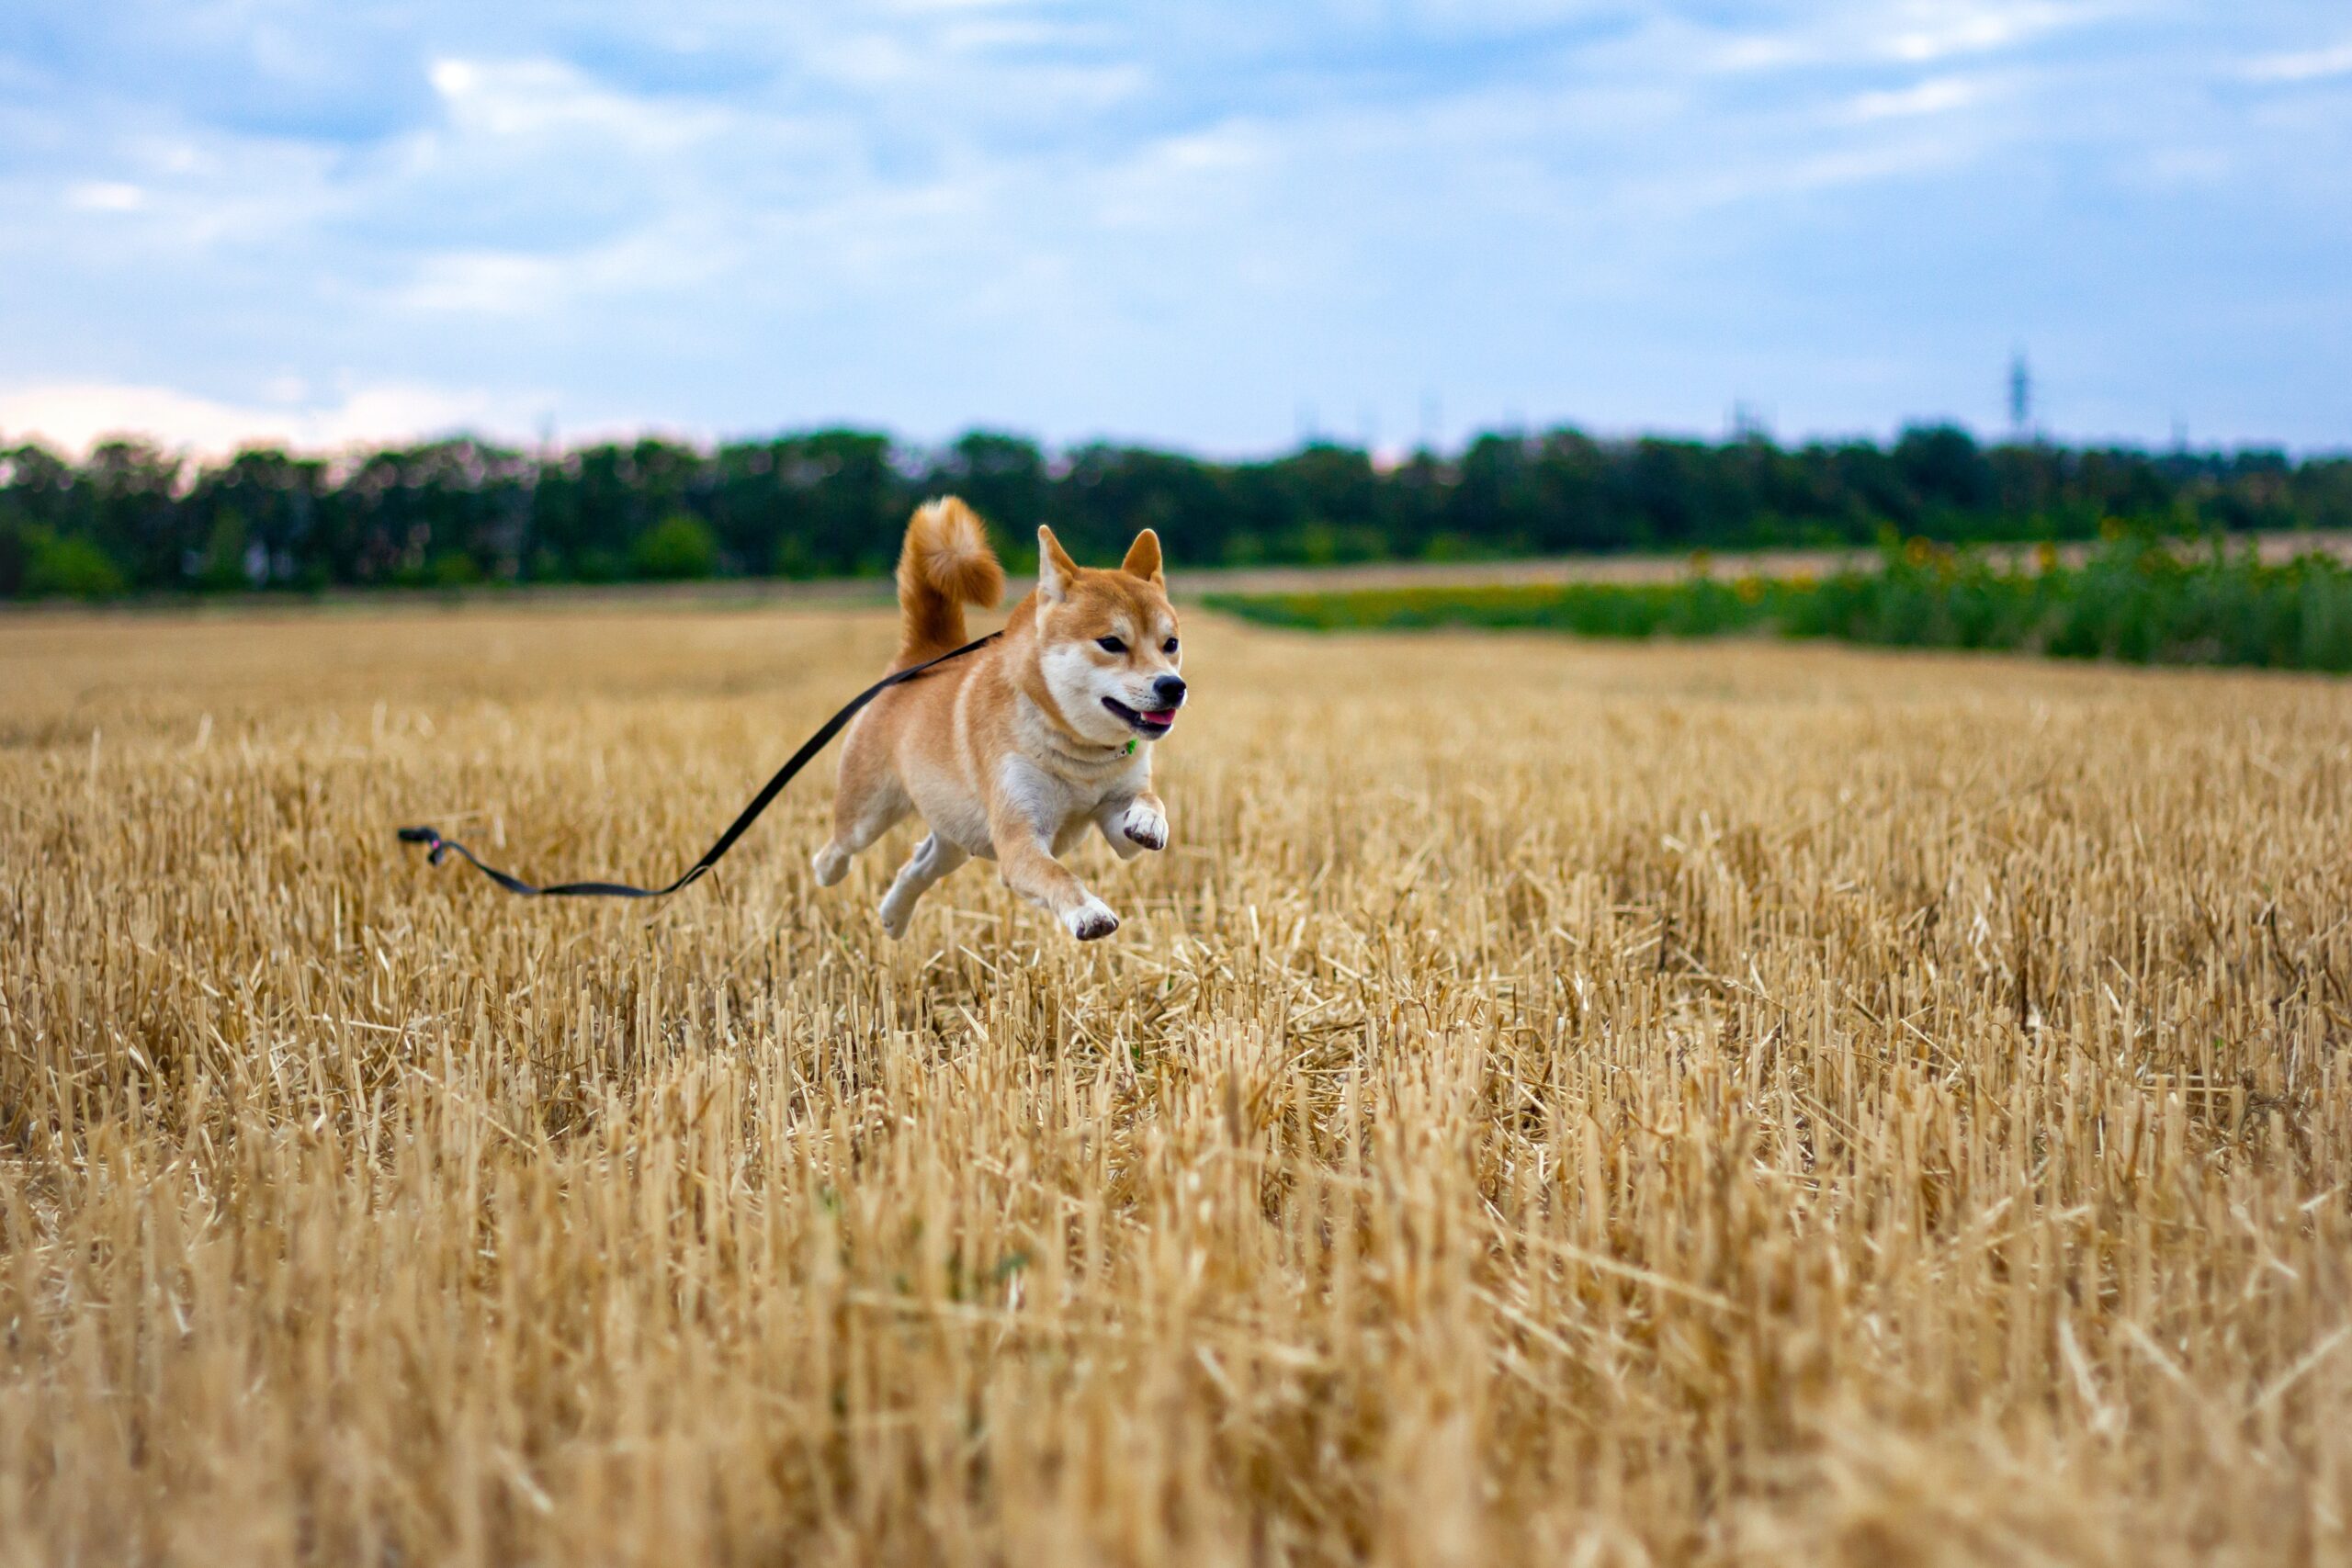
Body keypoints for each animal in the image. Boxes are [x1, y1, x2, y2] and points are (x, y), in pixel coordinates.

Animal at [813, 502, 1185, 944]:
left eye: (1171, 644)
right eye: (1111, 643)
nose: (1173, 686)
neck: (1080, 756)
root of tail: (923, 655)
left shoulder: (1116, 814)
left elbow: (1147, 801)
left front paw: (1149, 819)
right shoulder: (1019, 838)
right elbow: (1058, 875)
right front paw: (1088, 911)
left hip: (959, 833)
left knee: (919, 862)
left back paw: (894, 914)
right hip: (869, 813)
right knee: (840, 846)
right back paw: (827, 872)